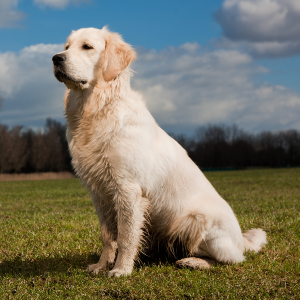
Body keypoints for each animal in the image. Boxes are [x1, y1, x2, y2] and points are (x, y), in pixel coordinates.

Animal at [52, 27, 268, 278]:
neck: (95, 109)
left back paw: (194, 262)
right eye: (67, 47)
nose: (56, 58)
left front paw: (121, 270)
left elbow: (126, 236)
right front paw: (101, 265)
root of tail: (241, 240)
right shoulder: (99, 192)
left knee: (232, 259)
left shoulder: (128, 189)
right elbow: (108, 236)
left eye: (87, 47)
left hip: (195, 221)